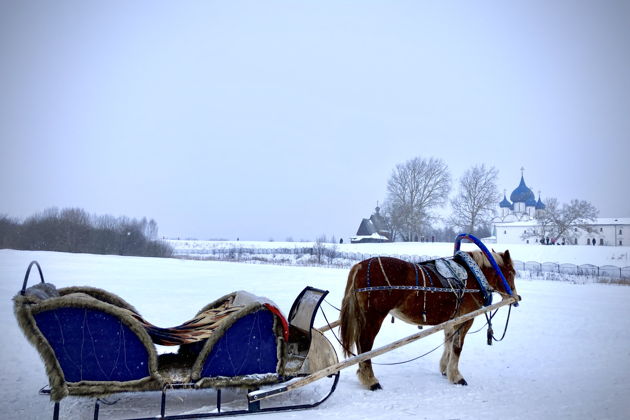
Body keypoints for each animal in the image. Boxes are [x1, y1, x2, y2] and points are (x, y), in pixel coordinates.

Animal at [340, 249, 520, 390]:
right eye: (512, 272)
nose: (516, 297)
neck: (474, 277)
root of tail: (360, 265)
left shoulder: (451, 320)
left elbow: (448, 343)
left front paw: (445, 369)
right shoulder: (464, 320)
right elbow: (457, 347)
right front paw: (456, 376)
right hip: (374, 317)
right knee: (365, 345)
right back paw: (371, 380)